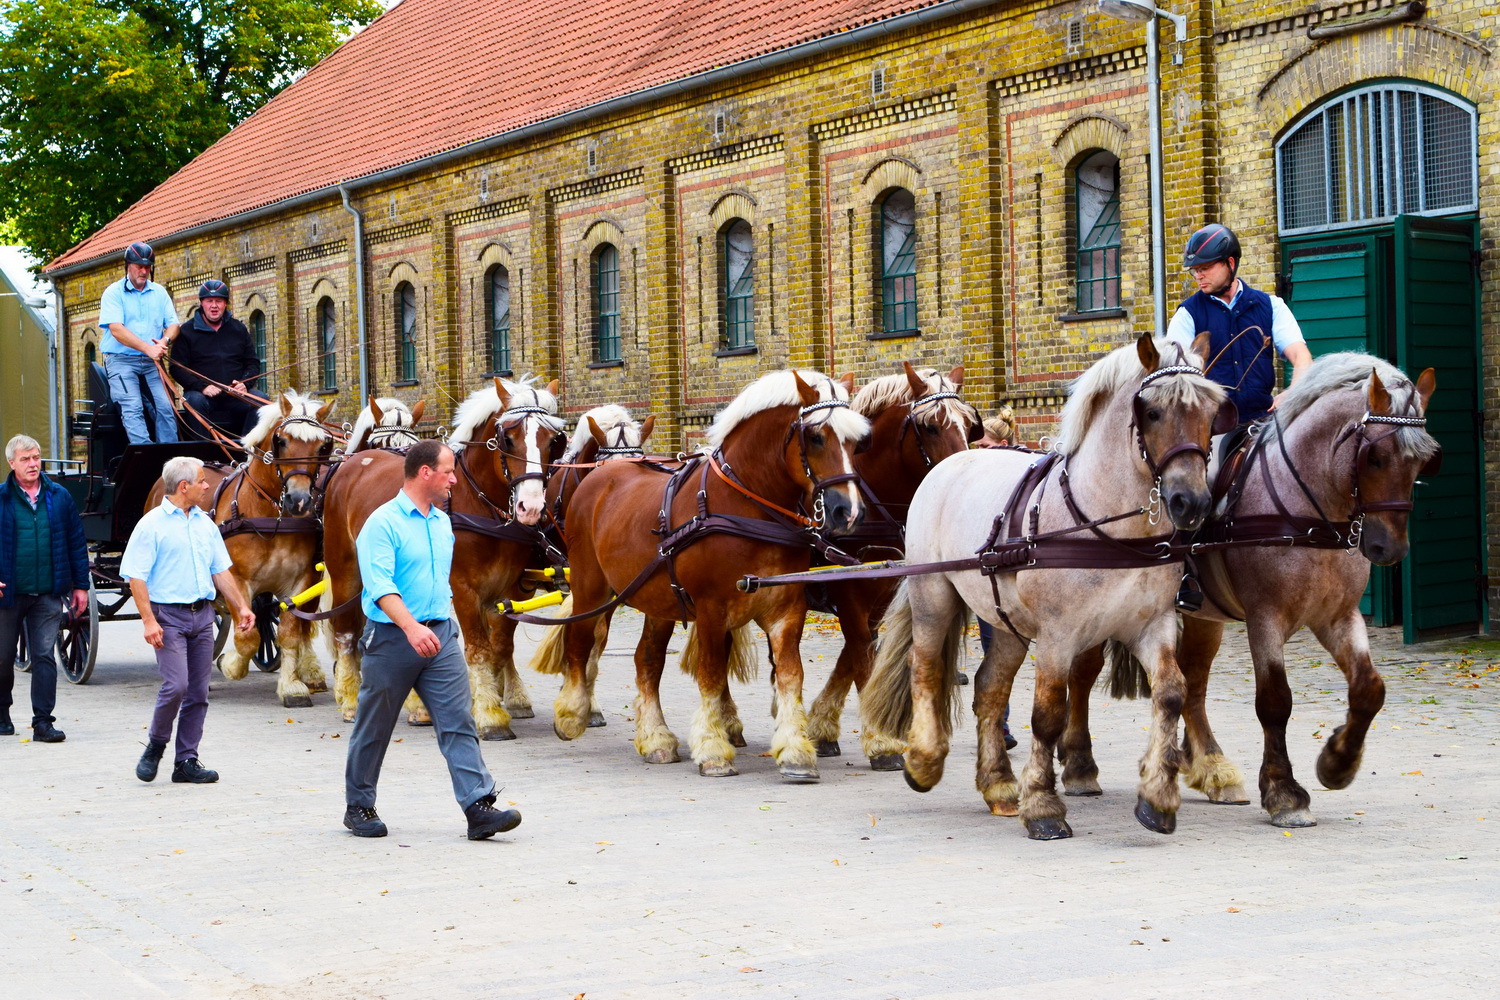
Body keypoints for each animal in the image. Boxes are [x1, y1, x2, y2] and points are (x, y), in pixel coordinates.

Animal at [144, 386, 337, 707]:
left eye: (323, 445)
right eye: (281, 441)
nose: (298, 500)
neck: (271, 517)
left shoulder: (302, 580)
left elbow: (289, 633)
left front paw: (291, 687)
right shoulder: (235, 579)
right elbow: (247, 639)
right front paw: (230, 664)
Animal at [322, 374, 564, 734]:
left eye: (553, 441)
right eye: (507, 439)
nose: (531, 507)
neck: (480, 505)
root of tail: (351, 465)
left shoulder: (511, 588)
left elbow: (500, 646)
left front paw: (489, 702)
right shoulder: (463, 587)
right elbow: (478, 648)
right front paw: (489, 716)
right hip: (344, 569)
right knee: (346, 630)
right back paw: (351, 699)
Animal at [552, 370, 870, 779]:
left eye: (858, 441)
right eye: (815, 436)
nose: (850, 512)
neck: (747, 506)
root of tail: (600, 474)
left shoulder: (786, 608)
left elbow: (790, 673)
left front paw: (796, 752)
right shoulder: (711, 608)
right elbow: (712, 673)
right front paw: (713, 749)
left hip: (658, 598)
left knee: (646, 660)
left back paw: (656, 739)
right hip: (592, 586)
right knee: (579, 639)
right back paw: (572, 713)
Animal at [864, 334, 1236, 839]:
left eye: (1213, 411)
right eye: (1153, 412)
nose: (1191, 502)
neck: (1104, 524)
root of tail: (952, 462)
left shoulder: (1151, 624)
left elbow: (1172, 693)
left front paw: (1157, 798)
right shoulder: (1060, 634)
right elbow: (1048, 714)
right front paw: (1043, 805)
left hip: (1004, 621)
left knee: (990, 688)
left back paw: (999, 785)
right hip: (933, 596)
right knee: (923, 666)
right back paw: (924, 760)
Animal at [1068, 352, 1440, 827]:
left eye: (1425, 460)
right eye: (1375, 456)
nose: (1388, 548)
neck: (1311, 510)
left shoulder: (1339, 616)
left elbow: (1369, 689)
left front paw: (1337, 763)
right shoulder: (1266, 617)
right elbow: (1275, 701)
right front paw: (1285, 793)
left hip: (1204, 618)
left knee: (1193, 685)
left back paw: (1212, 768)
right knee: (1082, 675)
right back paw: (1079, 766)